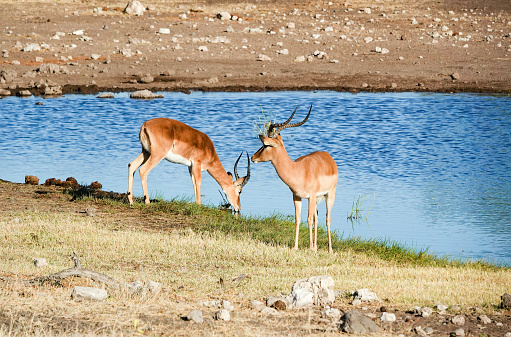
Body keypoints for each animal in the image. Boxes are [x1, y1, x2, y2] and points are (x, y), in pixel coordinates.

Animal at [252, 105, 340, 252]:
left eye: (266, 145)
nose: (253, 157)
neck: (298, 170)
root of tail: (329, 157)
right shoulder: (296, 196)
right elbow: (298, 219)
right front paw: (296, 247)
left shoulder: (311, 196)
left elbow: (308, 219)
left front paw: (309, 248)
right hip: (317, 199)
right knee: (317, 218)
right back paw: (316, 247)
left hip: (329, 195)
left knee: (328, 219)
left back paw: (330, 249)